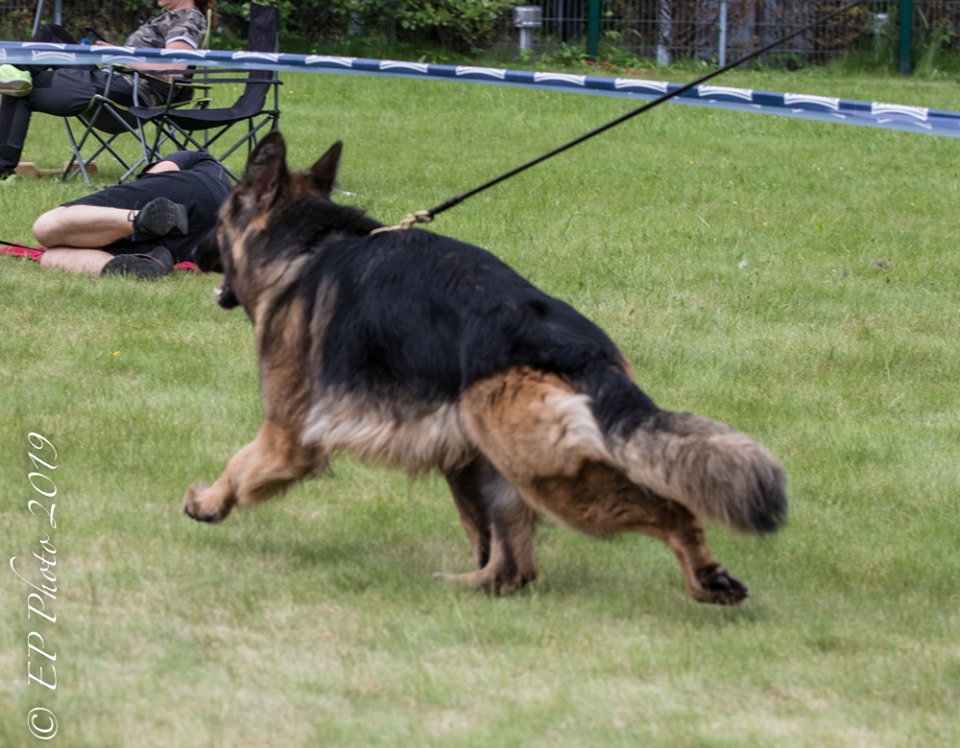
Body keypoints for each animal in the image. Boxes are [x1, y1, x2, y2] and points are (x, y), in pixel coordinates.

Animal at [185, 131, 787, 605]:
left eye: (219, 220)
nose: (195, 248)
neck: (305, 245)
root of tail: (584, 350)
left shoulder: (287, 433)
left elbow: (241, 465)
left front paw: (208, 502)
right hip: (489, 457)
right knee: (513, 565)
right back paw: (463, 585)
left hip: (548, 475)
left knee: (664, 510)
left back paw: (705, 578)